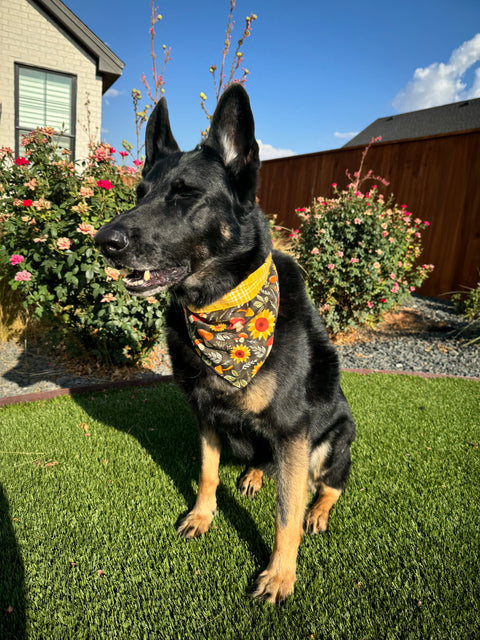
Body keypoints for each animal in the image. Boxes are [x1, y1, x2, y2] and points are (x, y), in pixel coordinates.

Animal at [94, 86, 356, 604]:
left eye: (185, 194)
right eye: (139, 195)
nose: (103, 240)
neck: (221, 309)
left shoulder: (293, 432)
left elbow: (286, 514)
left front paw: (280, 574)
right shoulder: (205, 414)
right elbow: (208, 473)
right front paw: (202, 515)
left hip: (335, 436)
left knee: (328, 484)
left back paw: (318, 509)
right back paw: (255, 474)